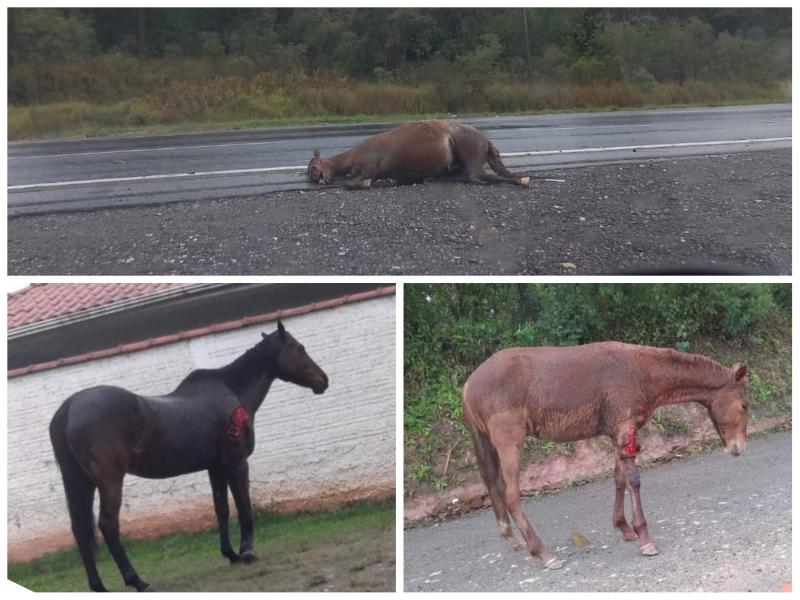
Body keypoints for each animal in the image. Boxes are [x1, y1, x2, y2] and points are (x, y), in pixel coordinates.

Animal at [49, 322, 328, 592]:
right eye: (298, 348)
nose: (323, 380)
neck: (232, 391)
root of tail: (69, 408)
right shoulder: (237, 463)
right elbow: (244, 507)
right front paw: (248, 553)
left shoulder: (215, 467)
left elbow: (222, 509)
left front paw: (231, 555)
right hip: (109, 481)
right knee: (108, 525)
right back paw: (137, 581)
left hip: (81, 481)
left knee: (80, 528)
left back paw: (99, 587)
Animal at [306, 119, 532, 189]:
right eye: (309, 172)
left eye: (314, 166)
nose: (318, 179)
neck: (350, 158)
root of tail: (486, 141)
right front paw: (387, 181)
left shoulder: (370, 165)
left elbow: (352, 182)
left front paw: (380, 182)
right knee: (464, 176)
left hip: (469, 150)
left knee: (480, 175)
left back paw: (521, 180)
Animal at [462, 342, 752, 572]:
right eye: (745, 405)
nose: (738, 448)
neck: (641, 372)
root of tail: (467, 386)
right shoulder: (625, 428)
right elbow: (633, 481)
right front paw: (645, 539)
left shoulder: (618, 433)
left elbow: (619, 479)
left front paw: (624, 528)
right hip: (510, 441)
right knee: (511, 494)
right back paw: (543, 553)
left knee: (495, 487)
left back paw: (514, 538)